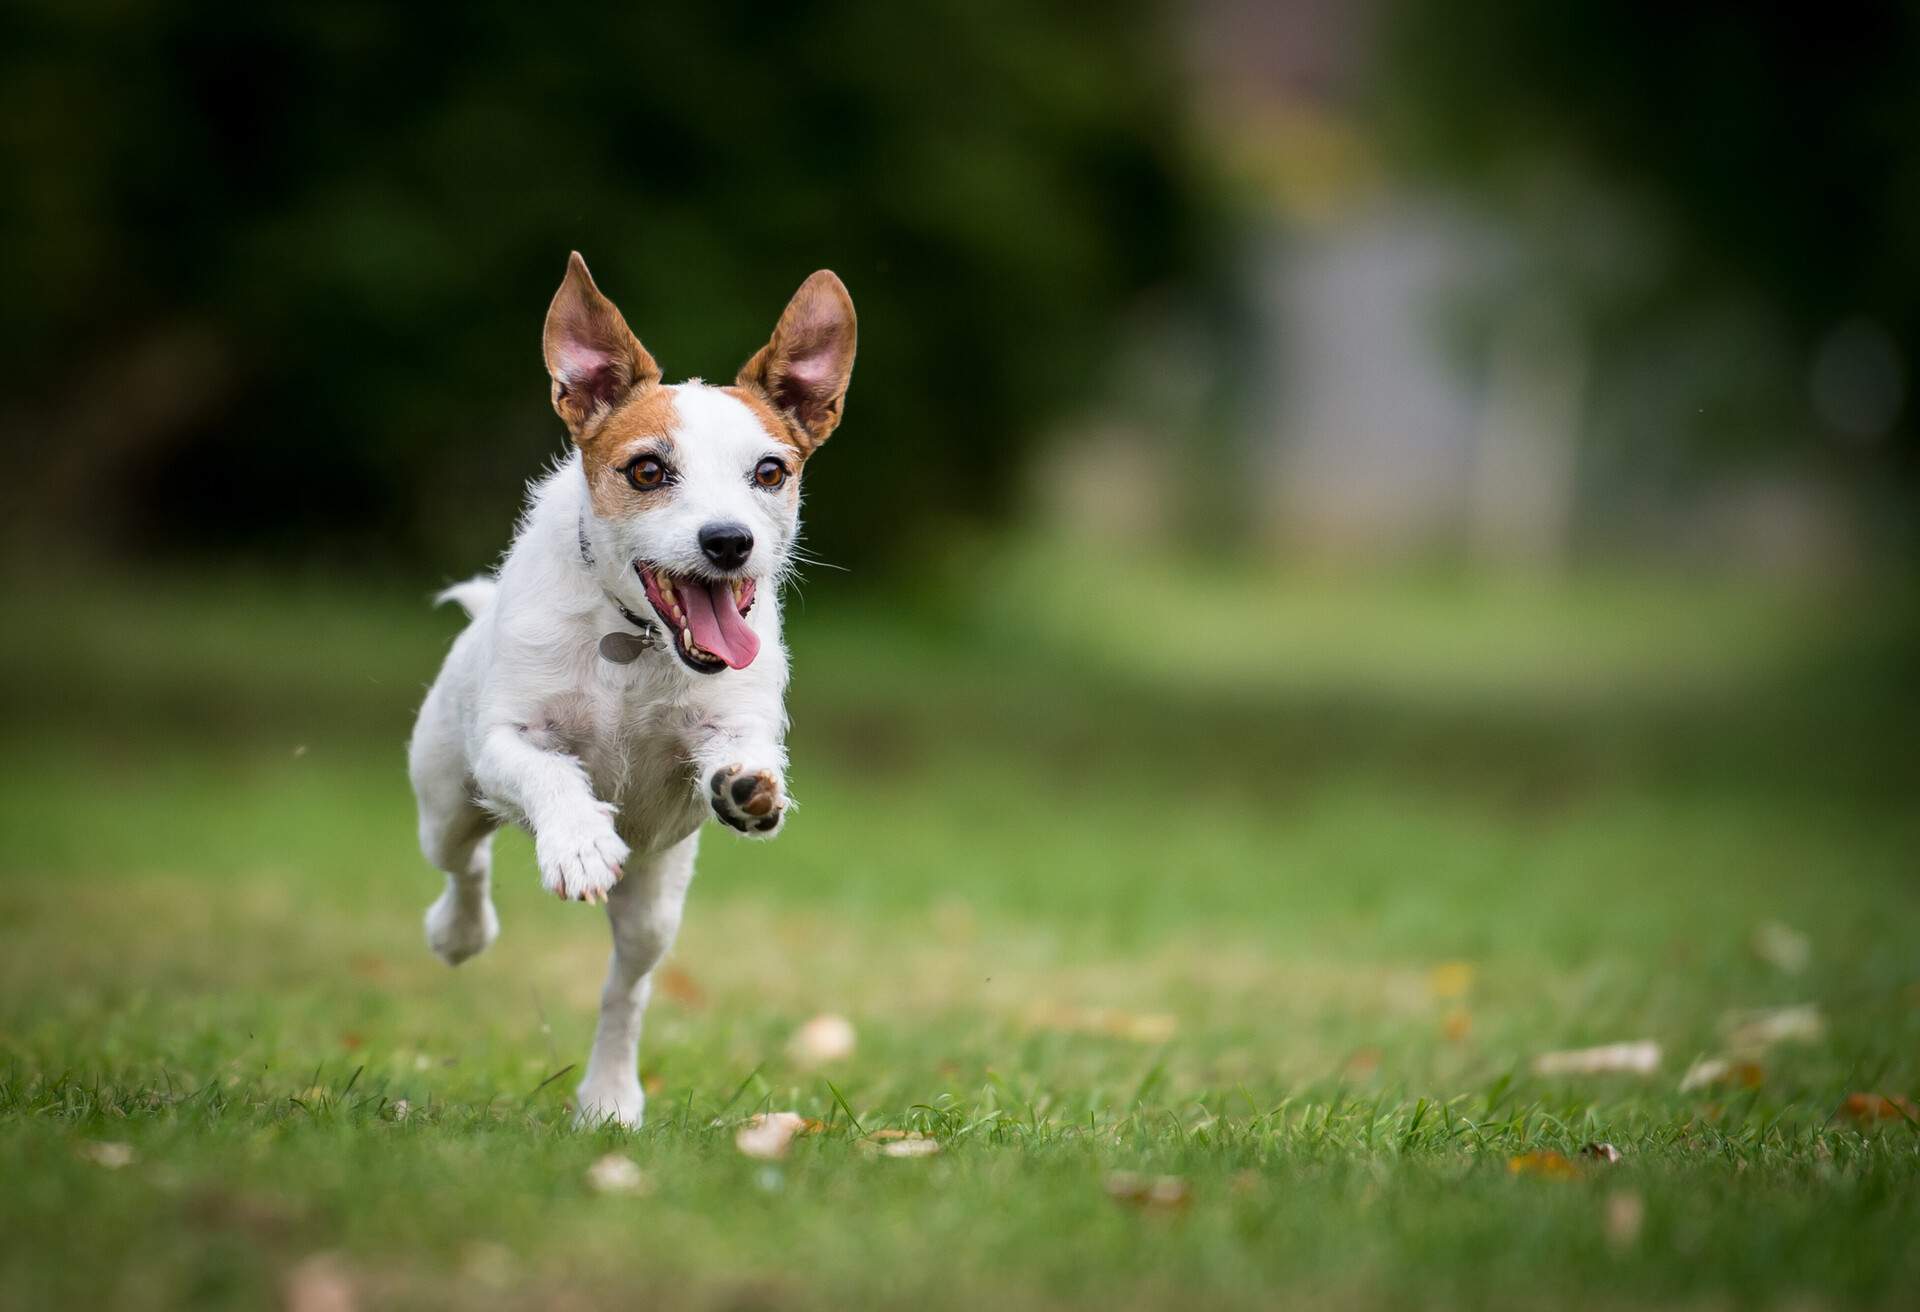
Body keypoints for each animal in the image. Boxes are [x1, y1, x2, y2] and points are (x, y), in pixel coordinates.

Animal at [407, 253, 856, 1129]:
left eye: (770, 472)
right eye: (648, 469)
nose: (729, 541)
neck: (633, 637)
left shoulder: (726, 724)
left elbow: (738, 750)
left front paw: (750, 787)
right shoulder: (507, 740)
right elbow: (548, 771)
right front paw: (579, 841)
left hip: (655, 901)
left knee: (627, 989)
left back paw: (609, 1096)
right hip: (444, 794)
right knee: (464, 863)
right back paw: (458, 933)